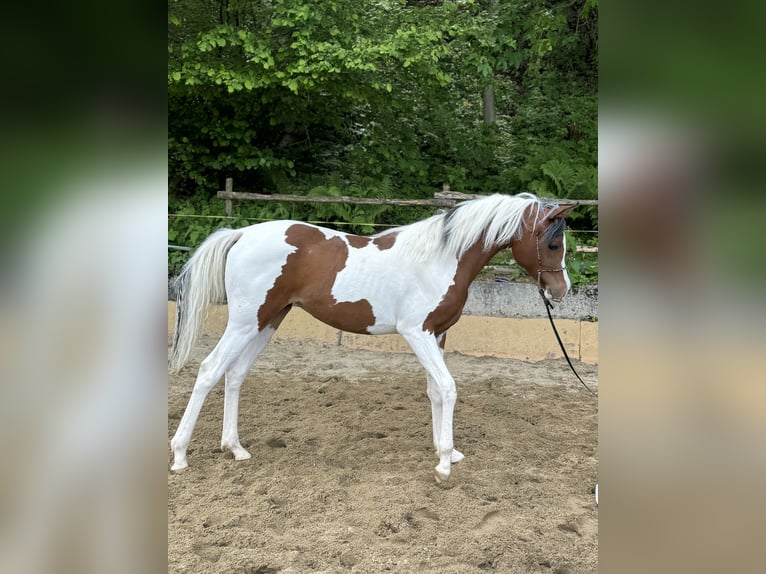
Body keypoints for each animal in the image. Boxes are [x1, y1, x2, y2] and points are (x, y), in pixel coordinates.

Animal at [170, 192, 576, 482]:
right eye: (552, 244)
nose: (562, 292)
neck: (441, 259)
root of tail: (240, 234)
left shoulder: (438, 335)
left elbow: (434, 390)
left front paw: (444, 450)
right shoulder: (418, 333)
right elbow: (448, 388)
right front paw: (445, 463)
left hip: (266, 321)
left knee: (235, 374)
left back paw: (235, 448)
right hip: (243, 322)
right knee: (208, 370)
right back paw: (180, 455)